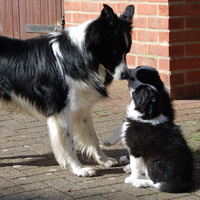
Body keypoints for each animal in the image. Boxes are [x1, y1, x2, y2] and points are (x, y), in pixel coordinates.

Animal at [0, 4, 134, 177]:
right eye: (114, 50)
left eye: (126, 51)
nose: (126, 75)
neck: (80, 55)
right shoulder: (61, 111)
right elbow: (69, 144)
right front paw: (78, 169)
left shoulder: (82, 107)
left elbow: (93, 137)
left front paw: (104, 160)